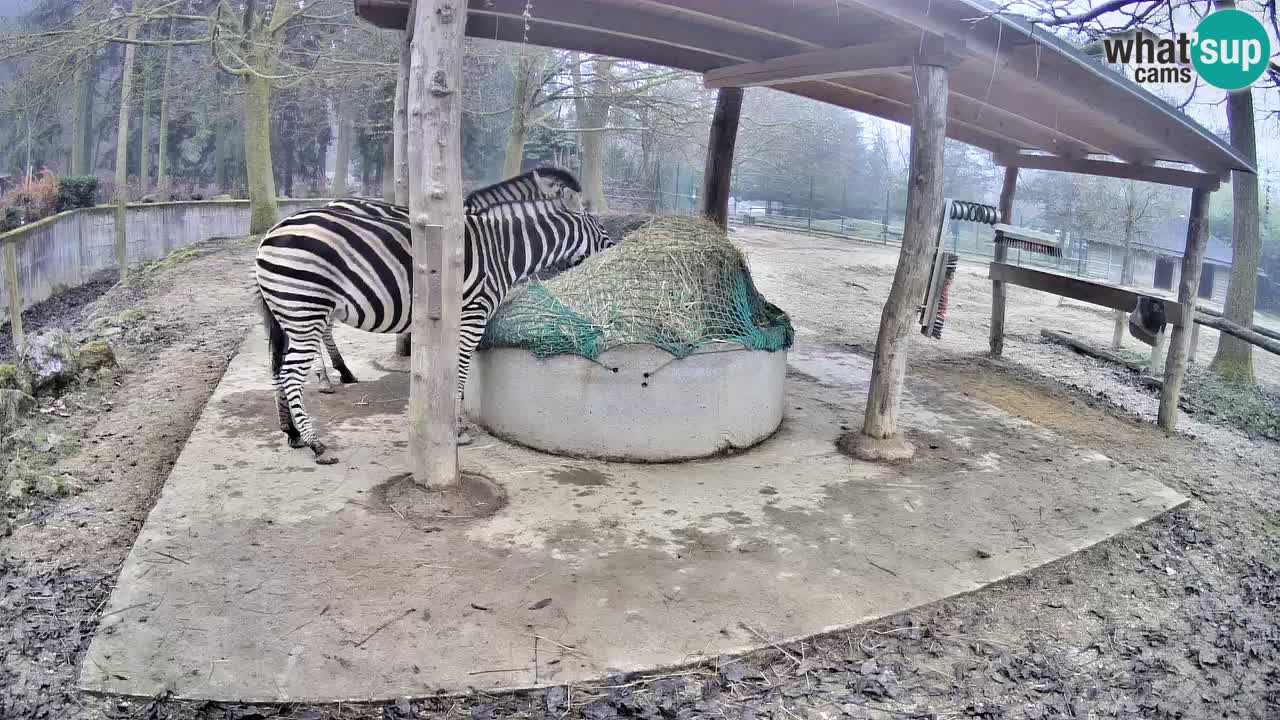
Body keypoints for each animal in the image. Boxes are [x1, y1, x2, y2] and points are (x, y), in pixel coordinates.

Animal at [254, 197, 614, 464]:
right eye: (604, 234)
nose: (613, 249)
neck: (503, 251)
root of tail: (268, 235)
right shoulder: (472, 315)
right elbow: (460, 372)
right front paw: (457, 429)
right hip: (306, 308)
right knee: (290, 374)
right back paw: (315, 442)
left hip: (287, 314)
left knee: (276, 370)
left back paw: (292, 433)